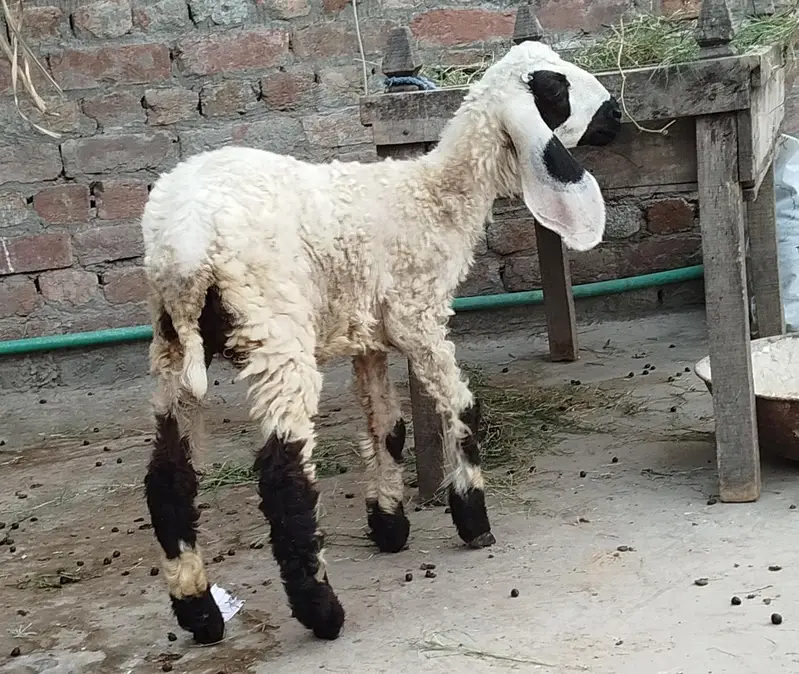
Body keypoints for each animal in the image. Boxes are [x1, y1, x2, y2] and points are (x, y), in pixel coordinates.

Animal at [141, 38, 622, 647]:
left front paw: (389, 522)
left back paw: (199, 611)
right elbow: (463, 408)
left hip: (172, 349)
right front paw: (471, 515)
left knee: (168, 478)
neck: (433, 197)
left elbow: (386, 427)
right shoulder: (418, 316)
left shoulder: (365, 332)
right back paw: (321, 610)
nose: (617, 114)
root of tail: (182, 249)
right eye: (555, 88)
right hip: (275, 331)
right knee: (283, 477)